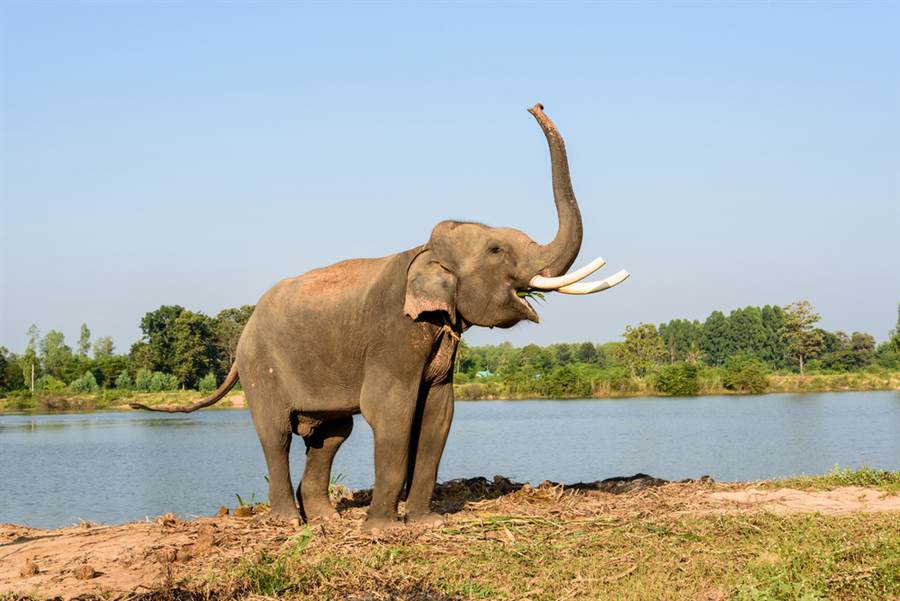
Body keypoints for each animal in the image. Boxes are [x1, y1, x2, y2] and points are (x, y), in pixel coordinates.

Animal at [132, 104, 629, 532]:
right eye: (495, 250)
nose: (535, 105)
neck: (422, 252)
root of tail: (244, 331)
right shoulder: (393, 333)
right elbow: (391, 410)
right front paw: (382, 530)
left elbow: (437, 414)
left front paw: (425, 523)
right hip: (261, 367)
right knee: (276, 434)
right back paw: (290, 522)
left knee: (330, 435)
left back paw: (324, 520)